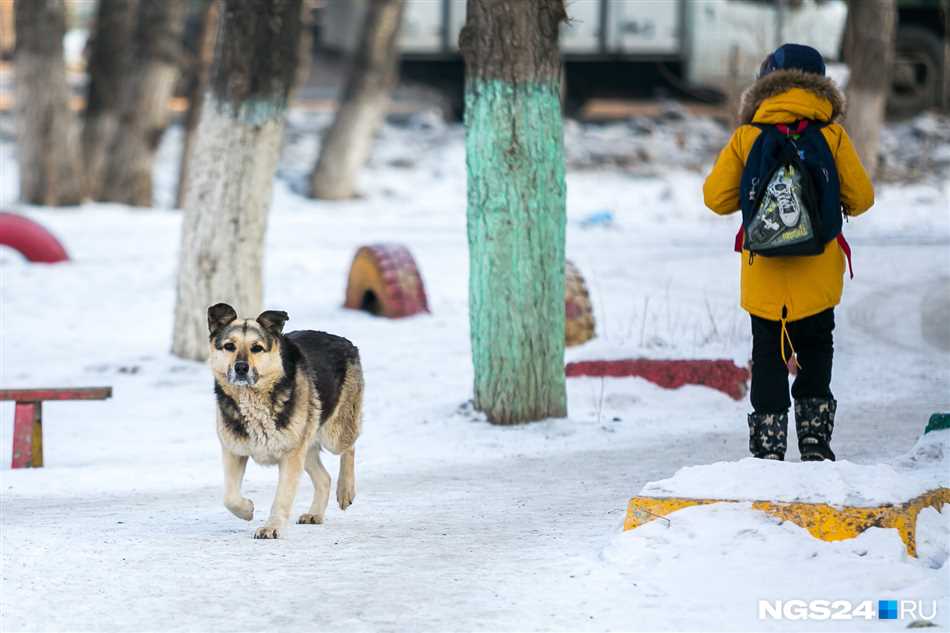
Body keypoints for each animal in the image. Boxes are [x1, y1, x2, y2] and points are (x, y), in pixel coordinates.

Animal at [208, 302, 364, 540]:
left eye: (257, 348)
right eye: (229, 346)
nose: (241, 368)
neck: (253, 399)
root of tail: (344, 341)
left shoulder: (290, 456)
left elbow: (282, 496)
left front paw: (271, 527)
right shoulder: (235, 451)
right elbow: (230, 497)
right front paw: (247, 510)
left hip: (333, 435)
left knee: (350, 448)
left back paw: (345, 490)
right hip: (306, 445)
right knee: (324, 478)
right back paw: (315, 513)